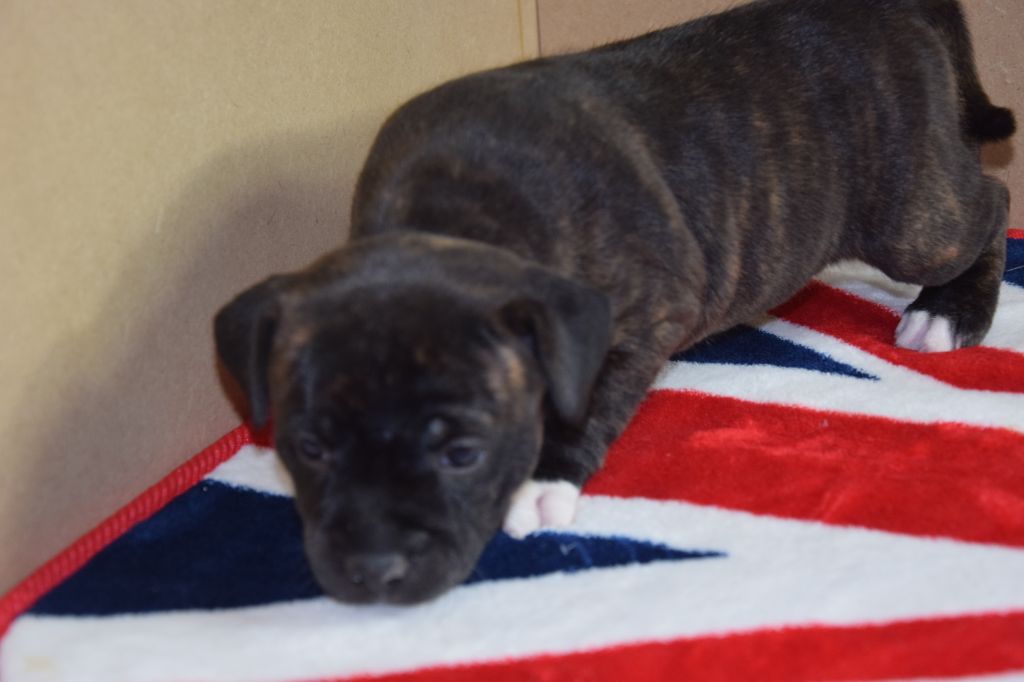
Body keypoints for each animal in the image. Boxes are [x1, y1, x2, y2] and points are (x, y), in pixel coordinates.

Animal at [215, 0, 1014, 604]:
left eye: (463, 454)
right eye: (309, 447)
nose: (373, 572)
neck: (450, 218)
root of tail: (892, 8)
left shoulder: (649, 313)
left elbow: (589, 398)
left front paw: (545, 480)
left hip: (912, 221)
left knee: (990, 203)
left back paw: (951, 312)